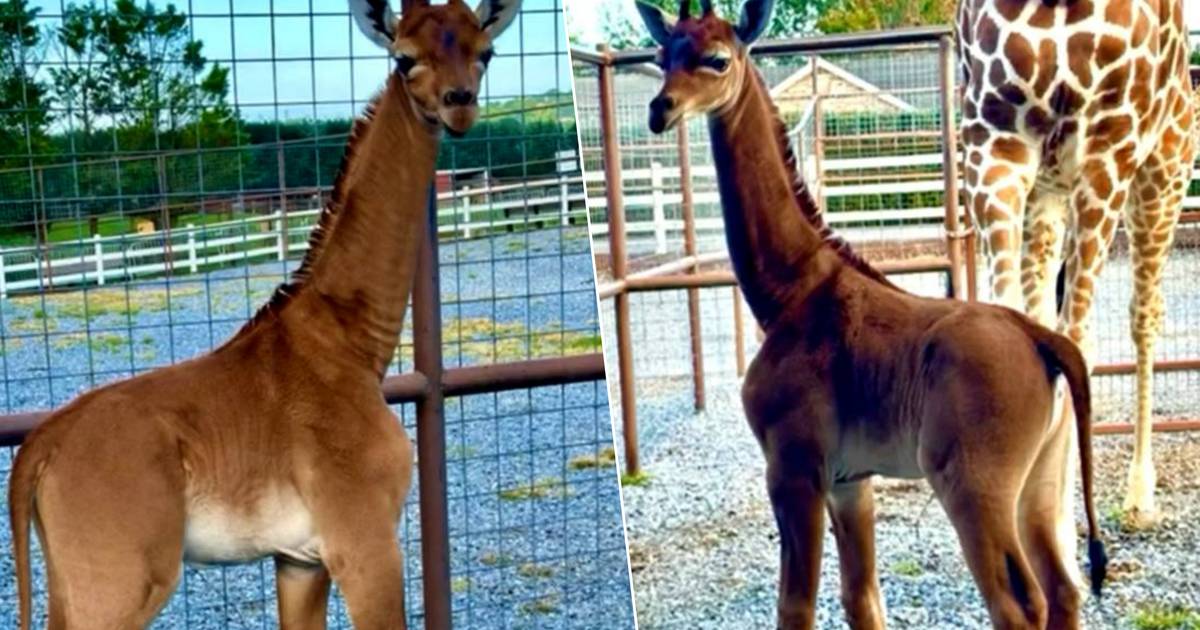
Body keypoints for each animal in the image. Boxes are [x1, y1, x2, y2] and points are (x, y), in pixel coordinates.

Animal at [7, 0, 519, 628]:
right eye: (404, 58)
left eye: (485, 51)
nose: (459, 103)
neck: (347, 343)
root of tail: (38, 450)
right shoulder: (364, 542)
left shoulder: (299, 560)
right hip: (117, 583)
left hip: (73, 583)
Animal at [635, 1, 1106, 628]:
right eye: (663, 54)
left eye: (717, 59)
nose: (660, 109)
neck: (789, 291)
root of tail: (1042, 340)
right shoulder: (849, 481)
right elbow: (863, 599)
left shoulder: (794, 468)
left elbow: (796, 605)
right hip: (1042, 480)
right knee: (1064, 589)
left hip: (973, 487)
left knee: (1019, 603)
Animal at [955, 0, 1197, 544]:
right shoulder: (993, 141)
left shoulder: (1108, 149)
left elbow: (1078, 343)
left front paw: (1060, 532)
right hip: (1048, 194)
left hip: (1163, 175)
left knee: (1144, 314)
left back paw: (1139, 497)